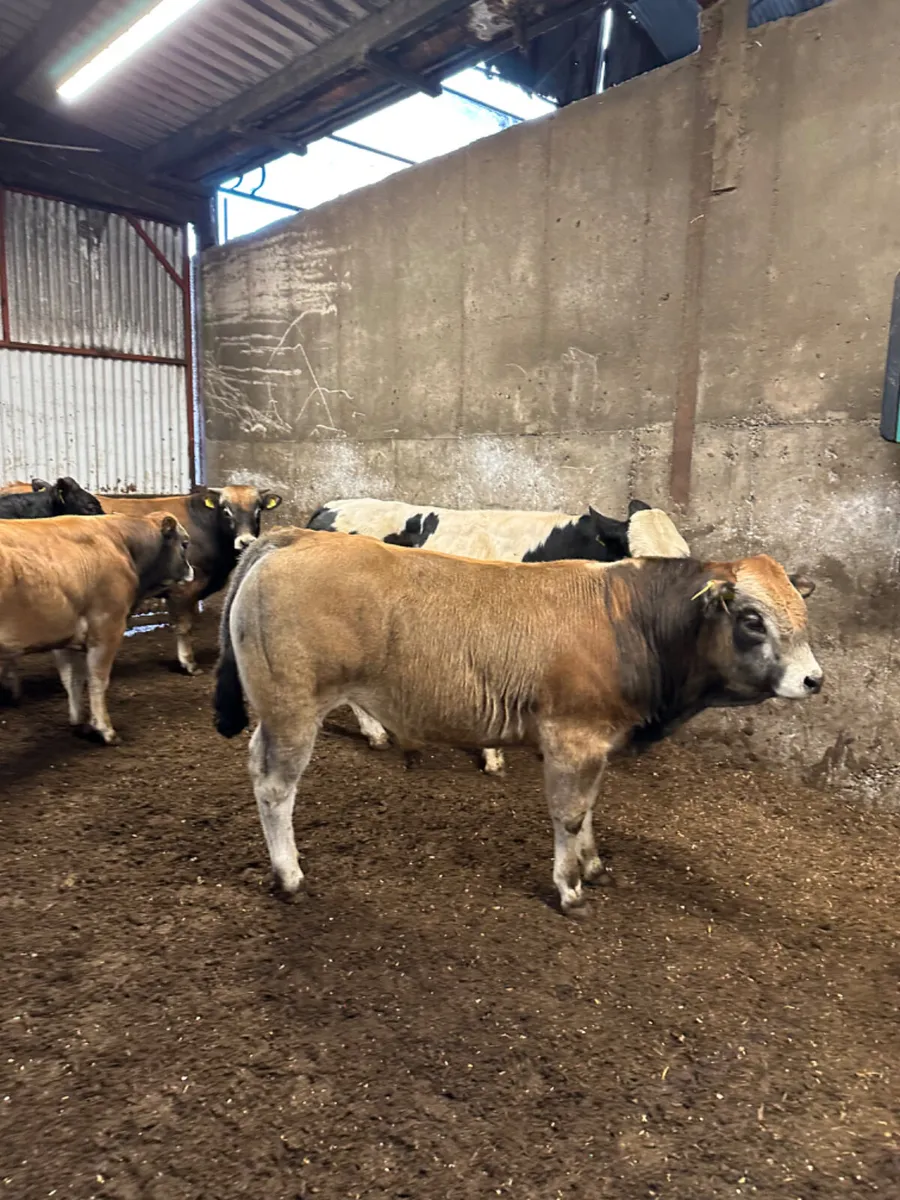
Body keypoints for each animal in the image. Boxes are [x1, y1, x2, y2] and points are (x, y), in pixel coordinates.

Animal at [0, 512, 193, 743]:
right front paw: (105, 730)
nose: (192, 571)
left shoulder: (64, 635)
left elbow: (71, 679)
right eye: (185, 543)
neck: (119, 542)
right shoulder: (107, 627)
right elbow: (98, 680)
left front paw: (79, 722)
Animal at [98, 486, 282, 675]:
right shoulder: (184, 587)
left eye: (258, 510)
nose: (246, 541)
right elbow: (184, 625)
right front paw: (189, 663)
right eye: (226, 511)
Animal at [213, 529, 822, 915]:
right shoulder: (571, 739)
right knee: (275, 786)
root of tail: (298, 536)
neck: (628, 619)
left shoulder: (598, 745)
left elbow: (589, 809)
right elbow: (569, 815)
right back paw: (289, 876)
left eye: (803, 614)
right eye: (751, 618)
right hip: (292, 708)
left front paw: (593, 866)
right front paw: (570, 888)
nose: (813, 679)